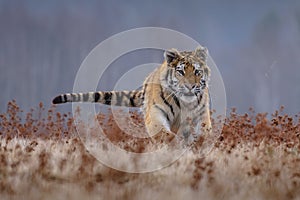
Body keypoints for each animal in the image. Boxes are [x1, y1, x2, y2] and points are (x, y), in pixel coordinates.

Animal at [52, 46, 211, 144]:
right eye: (181, 71)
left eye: (197, 71)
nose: (190, 86)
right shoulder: (156, 114)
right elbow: (164, 134)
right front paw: (177, 146)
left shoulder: (201, 115)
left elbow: (204, 134)